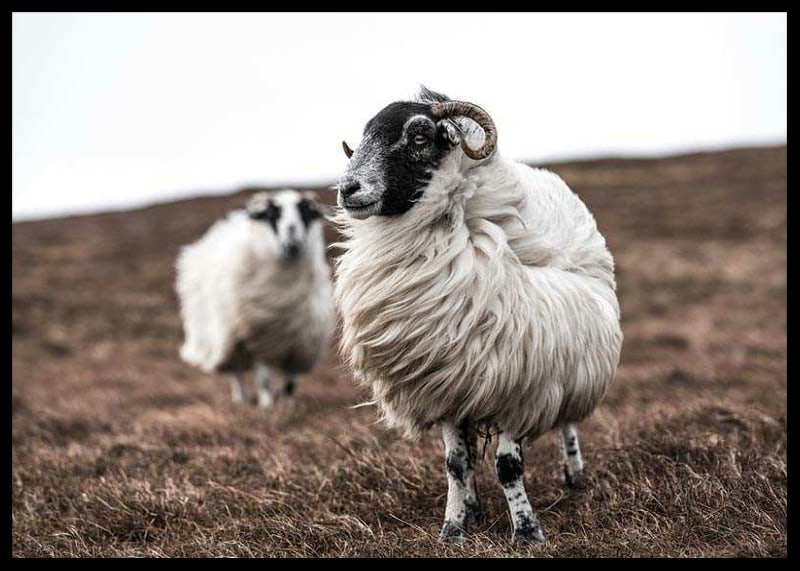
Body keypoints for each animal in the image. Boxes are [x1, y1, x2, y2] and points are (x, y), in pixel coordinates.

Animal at [176, 189, 334, 408]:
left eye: (306, 213)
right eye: (272, 214)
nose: (292, 244)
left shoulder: (301, 343)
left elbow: (291, 381)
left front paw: (286, 405)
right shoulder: (258, 338)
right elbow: (264, 379)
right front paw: (267, 406)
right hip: (227, 338)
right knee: (236, 373)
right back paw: (241, 400)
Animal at [333, 87, 623, 545]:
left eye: (419, 136)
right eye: (364, 136)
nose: (348, 188)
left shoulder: (520, 381)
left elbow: (508, 466)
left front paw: (527, 532)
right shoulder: (448, 381)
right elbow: (456, 463)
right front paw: (453, 528)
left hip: (569, 360)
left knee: (567, 423)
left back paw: (574, 476)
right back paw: (474, 505)